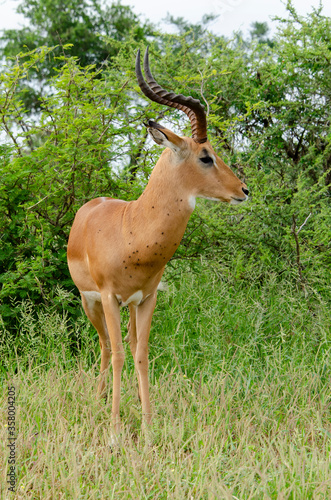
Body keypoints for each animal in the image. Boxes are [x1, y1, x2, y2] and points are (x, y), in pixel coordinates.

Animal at [67, 47, 249, 438]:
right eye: (205, 156)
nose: (244, 190)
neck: (132, 230)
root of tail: (91, 205)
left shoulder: (147, 298)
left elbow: (142, 353)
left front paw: (148, 427)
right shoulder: (109, 296)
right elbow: (120, 354)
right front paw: (115, 432)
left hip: (129, 306)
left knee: (128, 344)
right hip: (92, 303)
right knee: (106, 347)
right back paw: (99, 403)